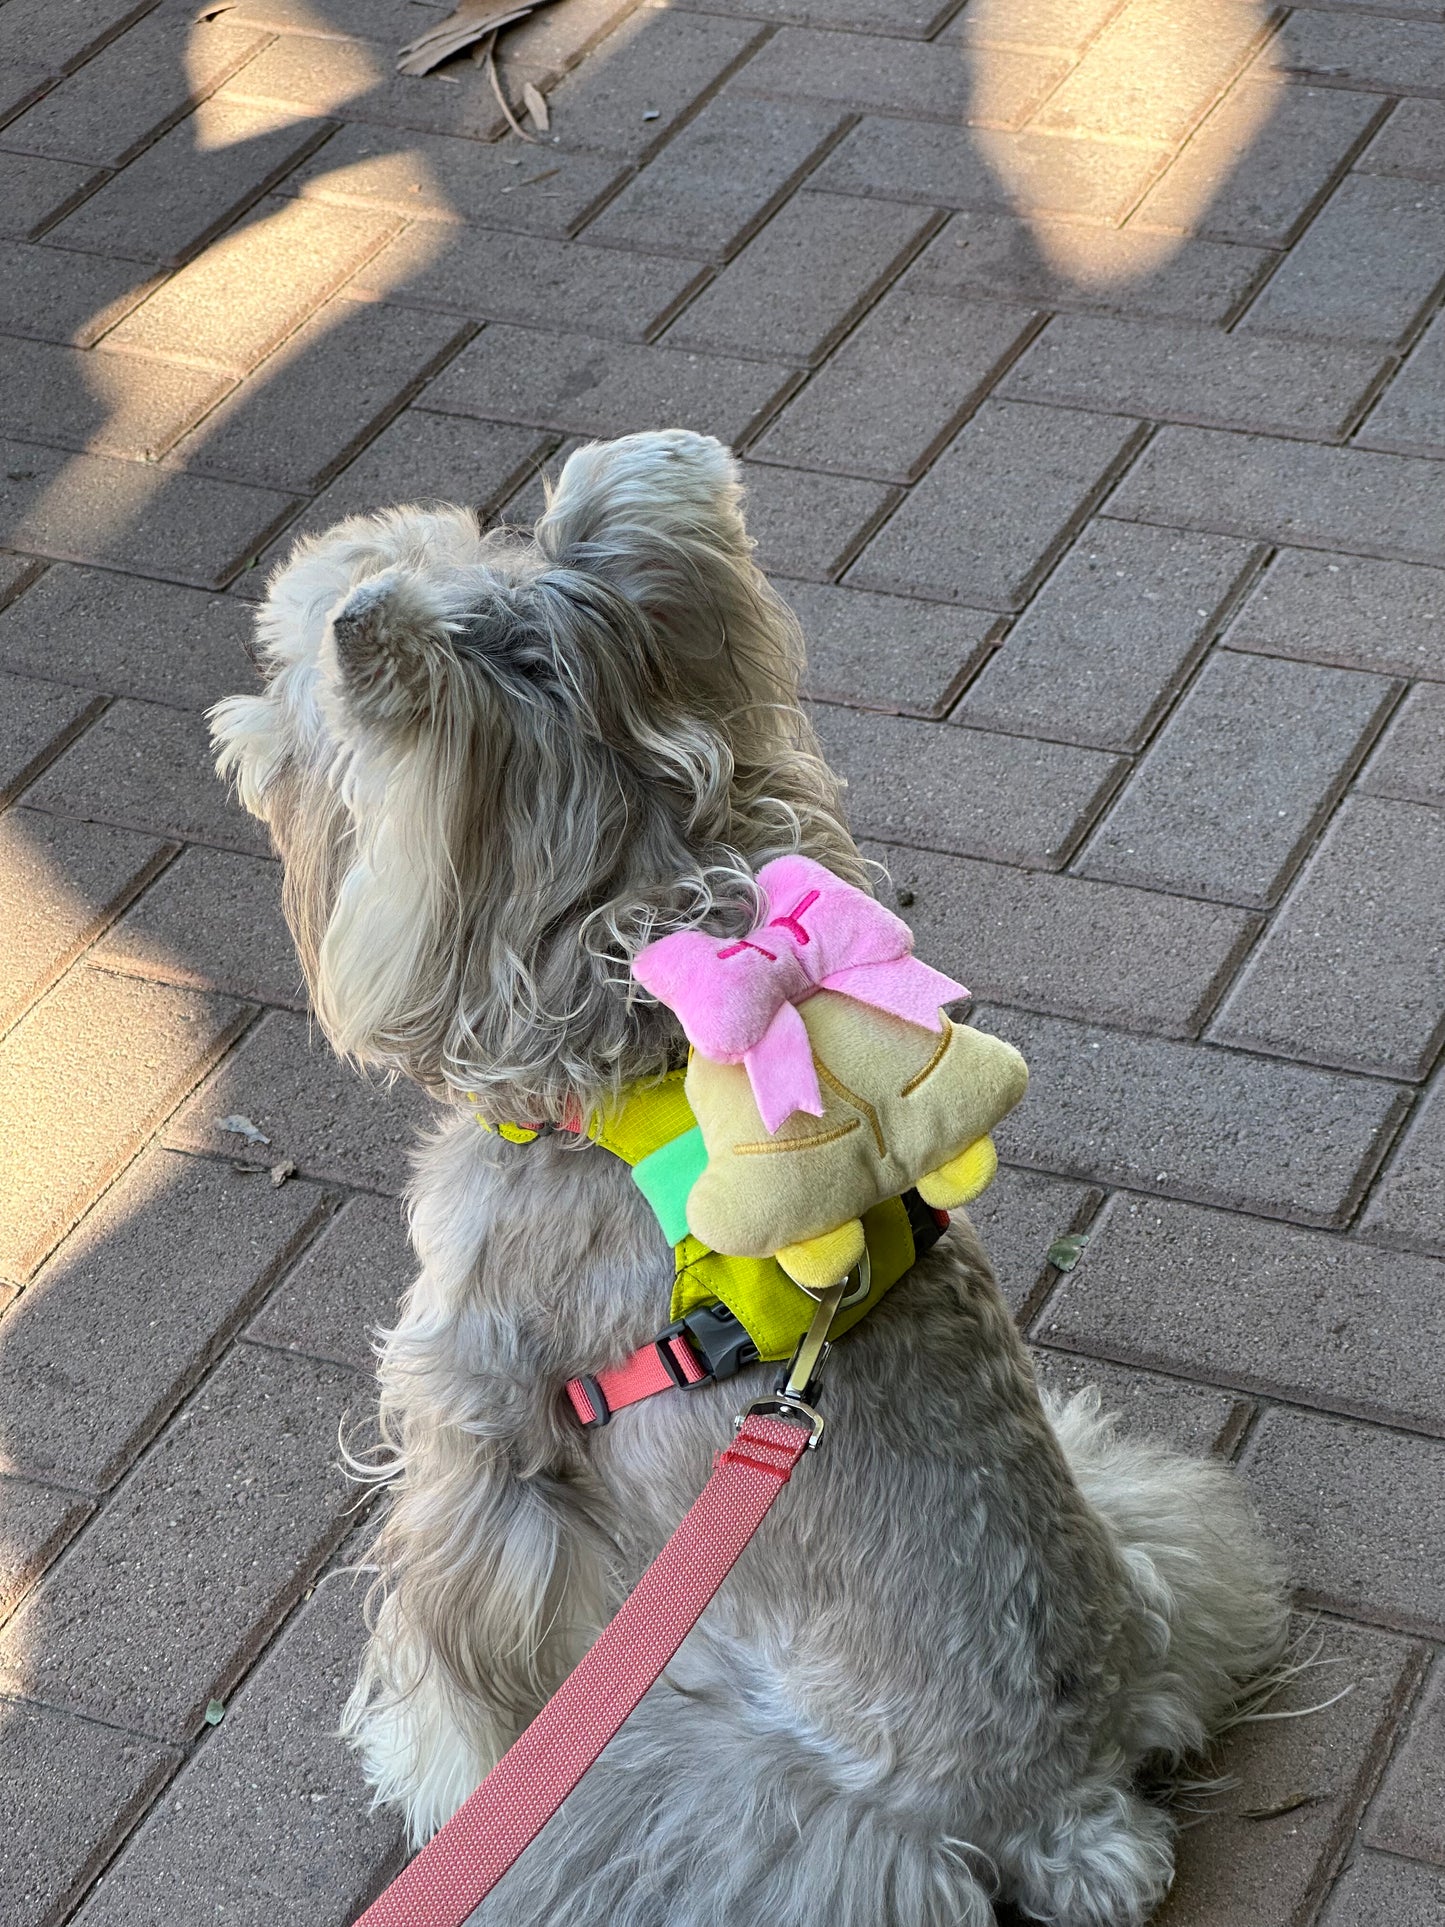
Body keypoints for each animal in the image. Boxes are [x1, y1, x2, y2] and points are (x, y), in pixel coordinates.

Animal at [214, 433, 1287, 1927]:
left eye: (289, 678)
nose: (230, 721)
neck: (625, 1016)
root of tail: (1064, 1808)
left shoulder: (475, 1420)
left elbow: (451, 1644)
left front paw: (425, 1766)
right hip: (1147, 1525)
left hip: (680, 1780)